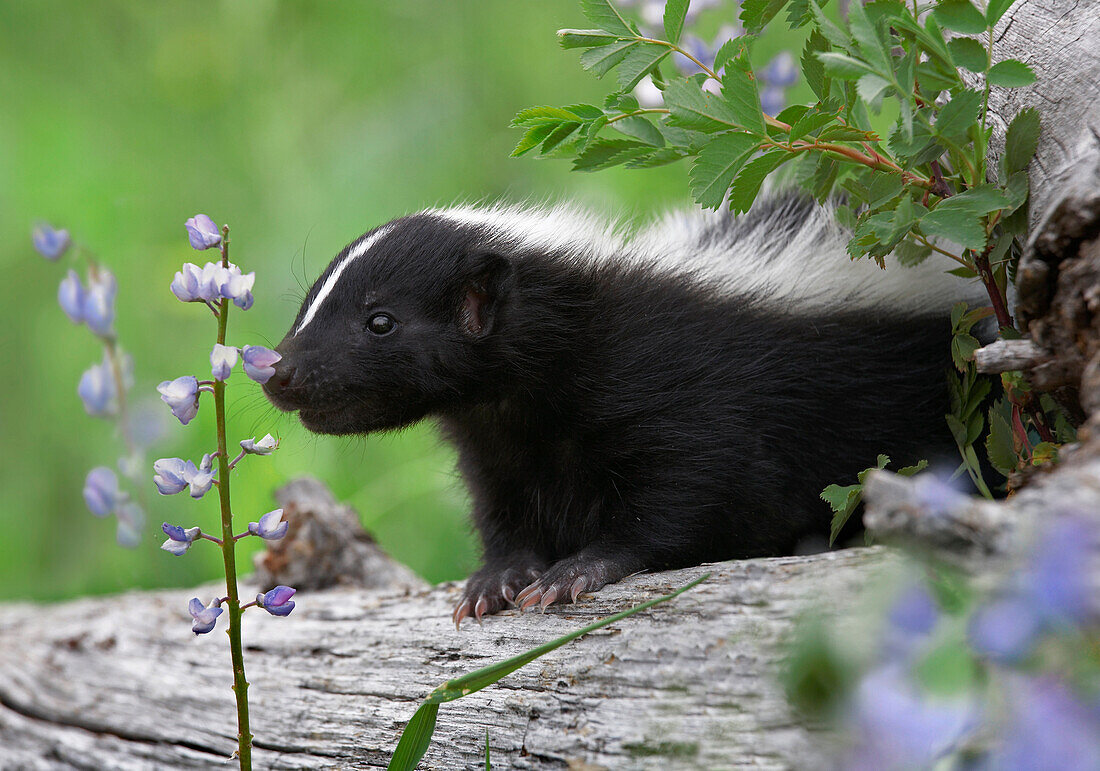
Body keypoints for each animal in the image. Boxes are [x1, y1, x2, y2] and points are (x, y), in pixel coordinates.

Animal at [264, 192, 981, 624]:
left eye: (380, 321)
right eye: (309, 303)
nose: (278, 371)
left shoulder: (685, 391)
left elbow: (693, 493)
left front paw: (579, 570)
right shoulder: (498, 441)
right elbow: (503, 511)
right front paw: (495, 579)